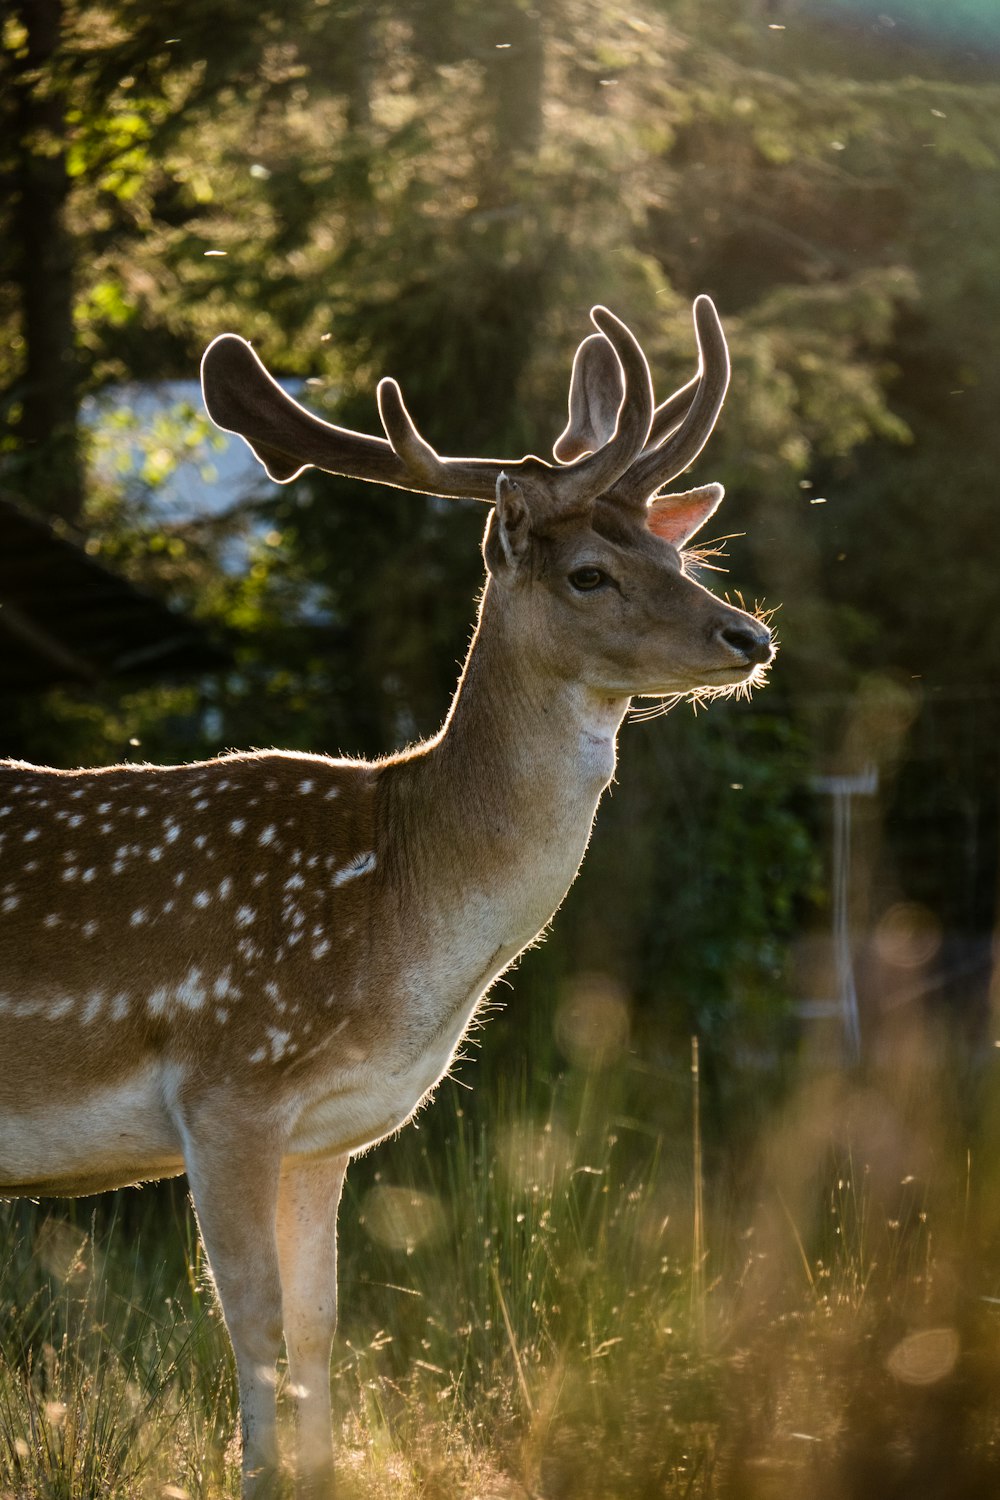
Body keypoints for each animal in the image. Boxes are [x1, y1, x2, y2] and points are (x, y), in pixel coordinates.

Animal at [0, 295, 773, 1500]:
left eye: (674, 549)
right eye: (587, 573)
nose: (749, 637)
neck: (396, 925)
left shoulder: (326, 1134)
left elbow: (321, 1326)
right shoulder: (226, 1082)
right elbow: (255, 1326)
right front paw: (256, 1476)